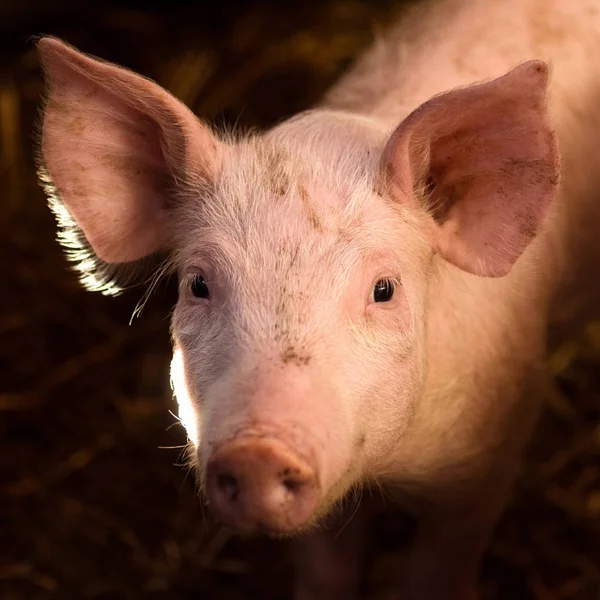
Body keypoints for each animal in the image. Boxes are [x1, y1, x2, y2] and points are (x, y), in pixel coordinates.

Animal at [35, 0, 600, 596]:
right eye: (198, 285)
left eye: (384, 290)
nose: (258, 453)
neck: (386, 474)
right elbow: (327, 574)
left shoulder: (487, 465)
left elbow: (434, 574)